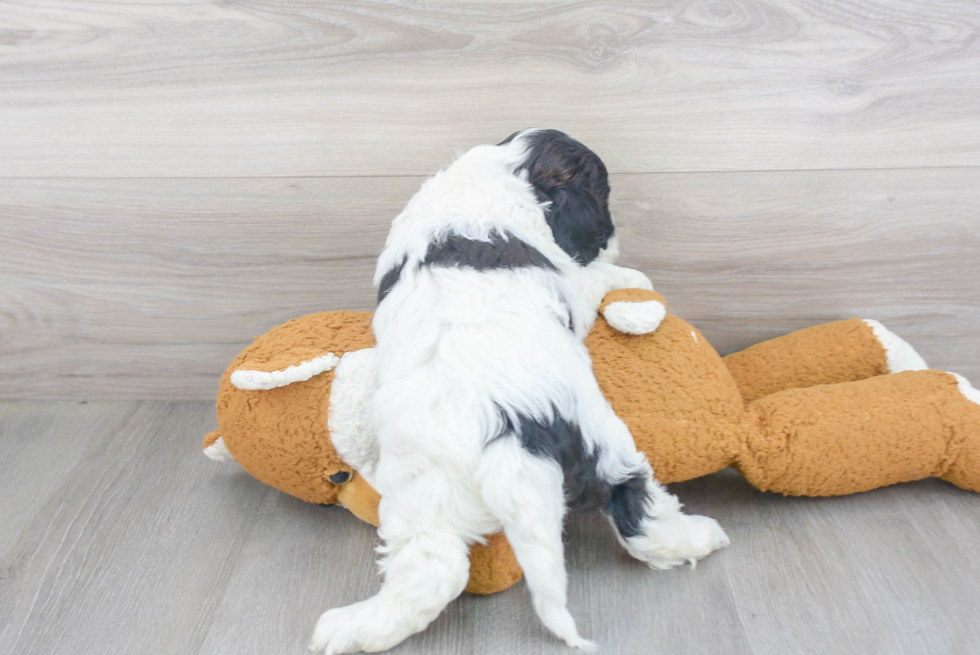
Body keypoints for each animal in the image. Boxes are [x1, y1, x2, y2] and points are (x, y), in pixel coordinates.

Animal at [310, 131, 732, 652]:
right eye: (604, 197)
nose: (612, 239)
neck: (497, 170)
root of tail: (507, 435)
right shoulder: (572, 280)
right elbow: (595, 278)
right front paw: (632, 276)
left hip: (421, 493)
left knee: (432, 568)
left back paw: (352, 628)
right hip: (603, 441)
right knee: (637, 508)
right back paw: (702, 536)